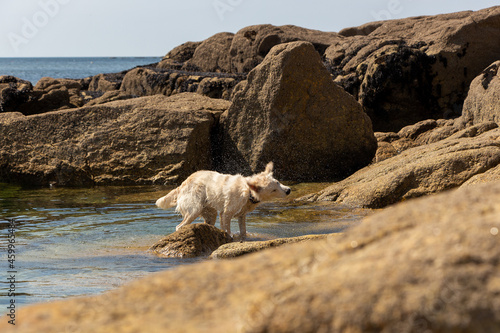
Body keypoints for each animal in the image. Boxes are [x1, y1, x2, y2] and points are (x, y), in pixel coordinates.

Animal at [155, 162, 290, 237]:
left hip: (211, 212)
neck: (248, 192)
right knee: (179, 226)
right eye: (273, 190)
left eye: (278, 182)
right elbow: (227, 229)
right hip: (194, 209)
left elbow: (243, 231)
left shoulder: (242, 215)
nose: (288, 190)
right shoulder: (226, 213)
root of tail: (183, 183)